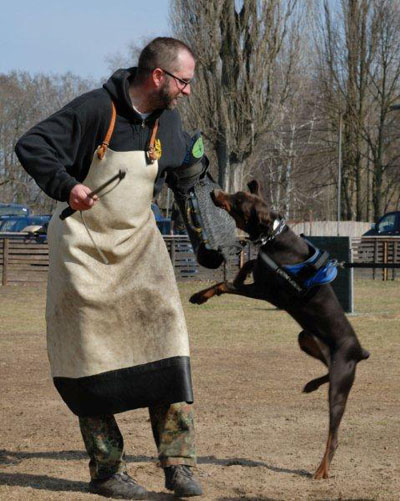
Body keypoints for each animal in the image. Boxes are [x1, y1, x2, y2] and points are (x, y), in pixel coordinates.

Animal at [190, 180, 369, 479]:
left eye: (237, 200)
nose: (215, 192)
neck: (272, 236)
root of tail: (360, 350)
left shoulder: (265, 292)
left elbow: (226, 284)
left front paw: (200, 295)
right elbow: (248, 264)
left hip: (340, 385)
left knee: (333, 435)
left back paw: (321, 470)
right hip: (307, 338)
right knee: (325, 371)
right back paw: (310, 385)